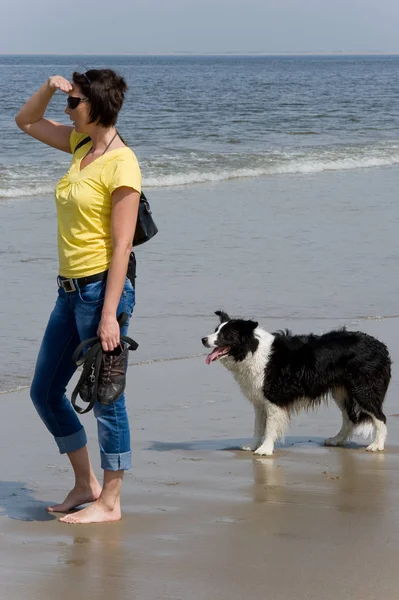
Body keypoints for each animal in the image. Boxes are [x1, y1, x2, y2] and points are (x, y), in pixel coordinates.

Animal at [202, 312, 392, 458]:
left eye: (226, 334)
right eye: (216, 330)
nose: (203, 339)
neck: (252, 350)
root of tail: (381, 346)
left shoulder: (273, 398)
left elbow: (269, 427)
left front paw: (265, 449)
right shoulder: (259, 401)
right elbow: (258, 426)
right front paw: (253, 445)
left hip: (364, 389)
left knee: (380, 417)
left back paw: (377, 445)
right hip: (341, 391)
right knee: (349, 417)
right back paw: (336, 440)